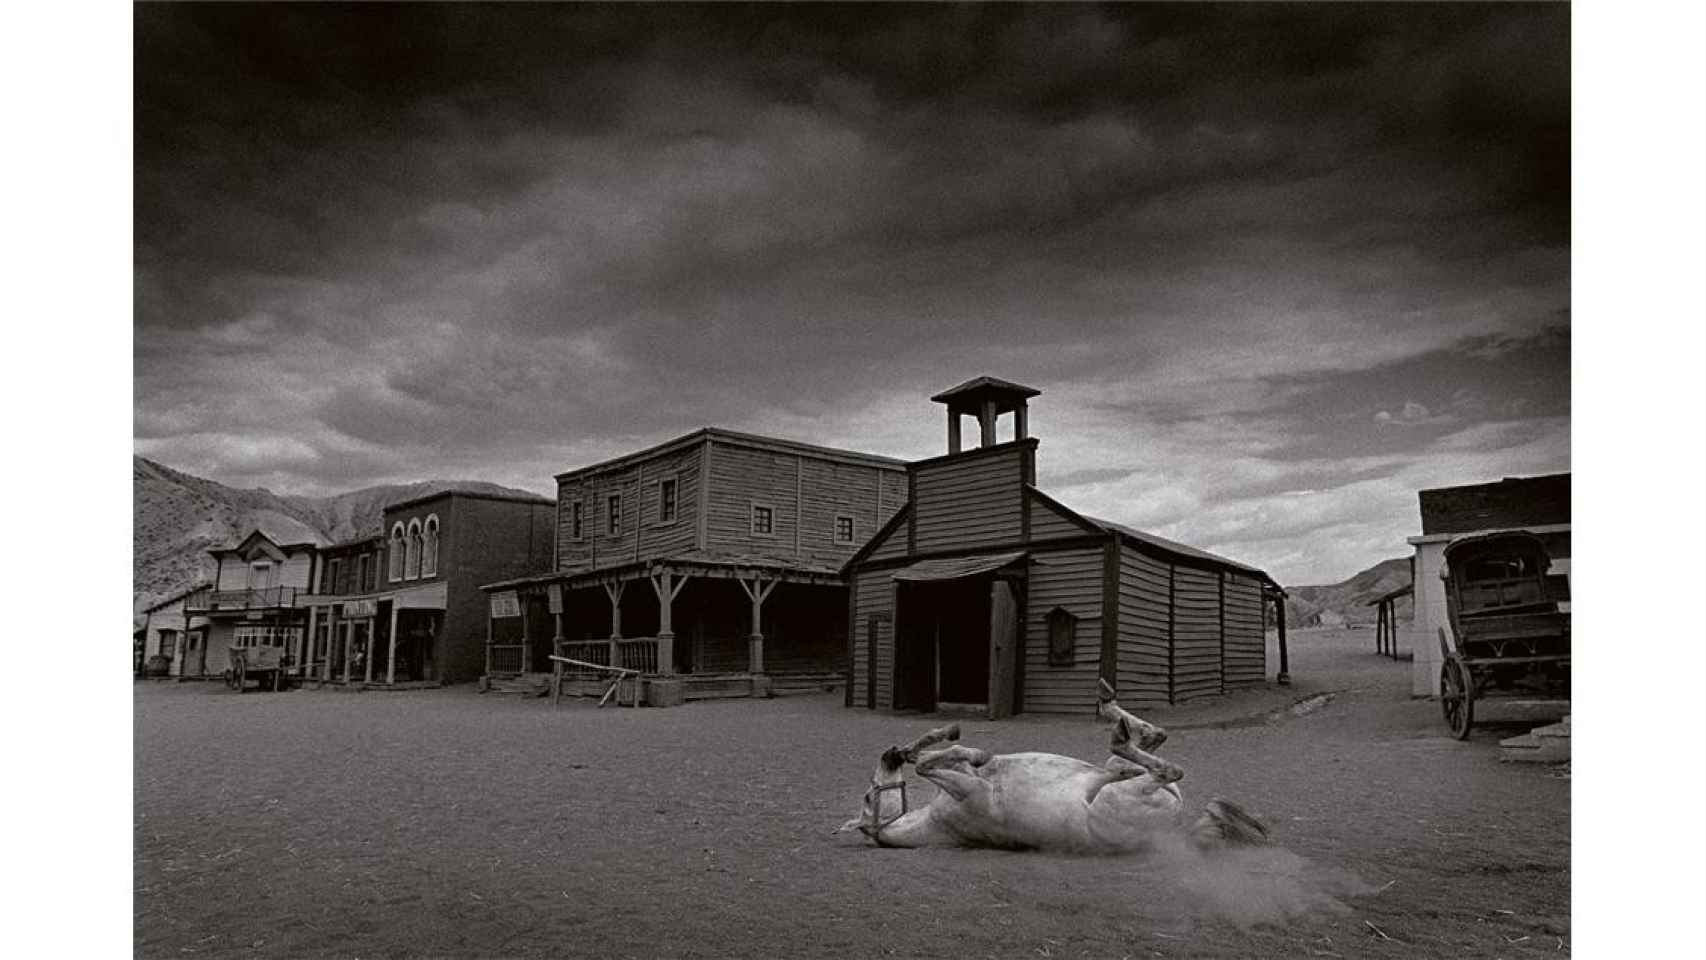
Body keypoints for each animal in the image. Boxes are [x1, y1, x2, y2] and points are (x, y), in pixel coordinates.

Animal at [839, 688, 1269, 852]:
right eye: (868, 797)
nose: (888, 755)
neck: (935, 824)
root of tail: (1175, 830)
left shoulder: (967, 782)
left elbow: (938, 755)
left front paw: (933, 743)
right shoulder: (971, 791)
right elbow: (934, 764)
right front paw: (972, 751)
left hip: (1116, 773)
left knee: (1150, 742)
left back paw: (1111, 706)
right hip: (1125, 791)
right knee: (1163, 766)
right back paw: (1117, 727)